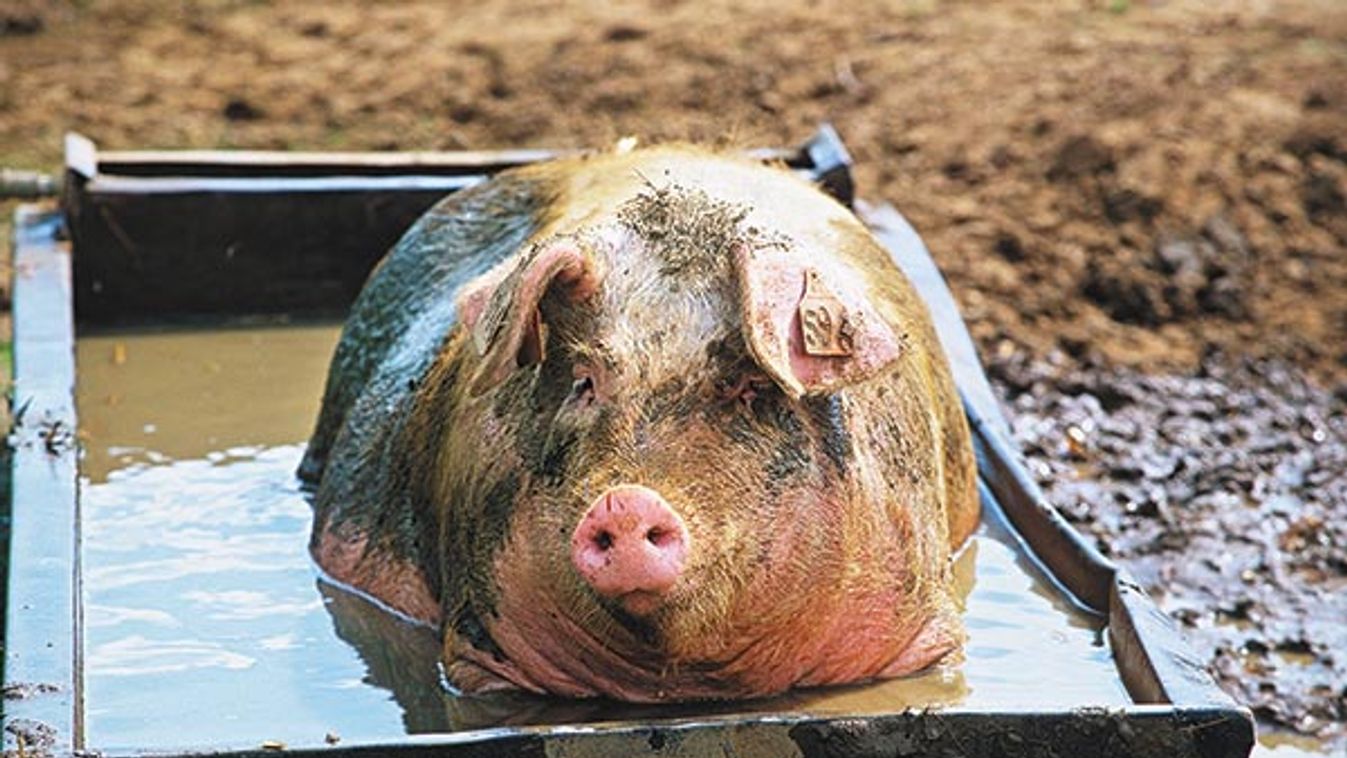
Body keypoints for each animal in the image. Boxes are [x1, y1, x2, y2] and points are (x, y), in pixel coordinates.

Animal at [300, 145, 980, 705]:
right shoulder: (479, 654)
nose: (625, 503)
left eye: (747, 385)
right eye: (585, 381)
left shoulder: (923, 636)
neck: (684, 678)